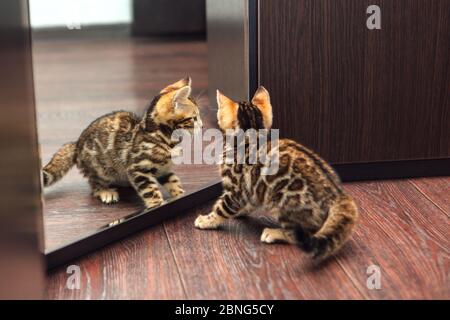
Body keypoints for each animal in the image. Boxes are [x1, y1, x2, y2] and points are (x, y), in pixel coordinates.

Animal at [43, 77, 203, 208]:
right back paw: (105, 191)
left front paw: (180, 195)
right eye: (194, 118)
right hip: (100, 169)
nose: (202, 126)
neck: (161, 136)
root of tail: (76, 144)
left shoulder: (164, 169)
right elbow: (150, 191)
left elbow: (174, 182)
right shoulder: (137, 168)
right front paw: (157, 205)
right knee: (94, 183)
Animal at [195, 86, 360, 258]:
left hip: (282, 199)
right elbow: (248, 202)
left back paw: (274, 233)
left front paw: (207, 220)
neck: (250, 139)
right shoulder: (251, 190)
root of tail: (339, 196)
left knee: (300, 233)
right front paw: (240, 211)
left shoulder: (236, 189)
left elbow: (222, 208)